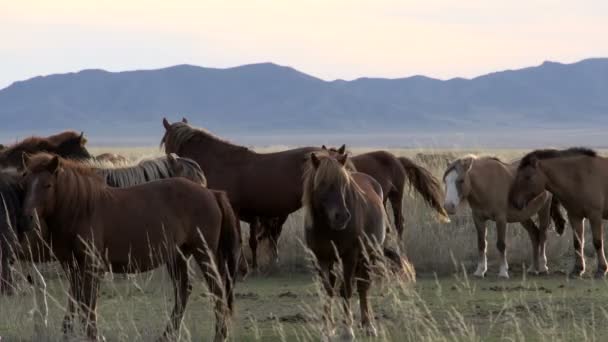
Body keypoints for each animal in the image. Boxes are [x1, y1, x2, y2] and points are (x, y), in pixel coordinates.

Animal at [21, 154, 245, 340]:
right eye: (26, 183)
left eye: (48, 185)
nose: (27, 218)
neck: (81, 208)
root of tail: (212, 193)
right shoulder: (72, 266)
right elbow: (75, 303)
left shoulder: (91, 266)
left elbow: (87, 305)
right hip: (178, 256)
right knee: (183, 290)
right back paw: (168, 335)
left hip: (204, 253)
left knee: (217, 291)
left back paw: (219, 335)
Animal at [304, 153, 400, 342]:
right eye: (322, 183)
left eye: (344, 184)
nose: (341, 216)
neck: (326, 227)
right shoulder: (321, 259)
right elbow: (327, 291)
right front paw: (326, 330)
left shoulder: (349, 256)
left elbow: (347, 290)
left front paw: (347, 331)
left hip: (370, 254)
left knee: (363, 287)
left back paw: (368, 326)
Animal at [508, 147, 608, 278]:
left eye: (527, 176)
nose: (514, 202)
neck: (580, 176)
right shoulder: (575, 216)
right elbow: (577, 243)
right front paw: (577, 270)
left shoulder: (594, 216)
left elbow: (597, 242)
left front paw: (601, 270)